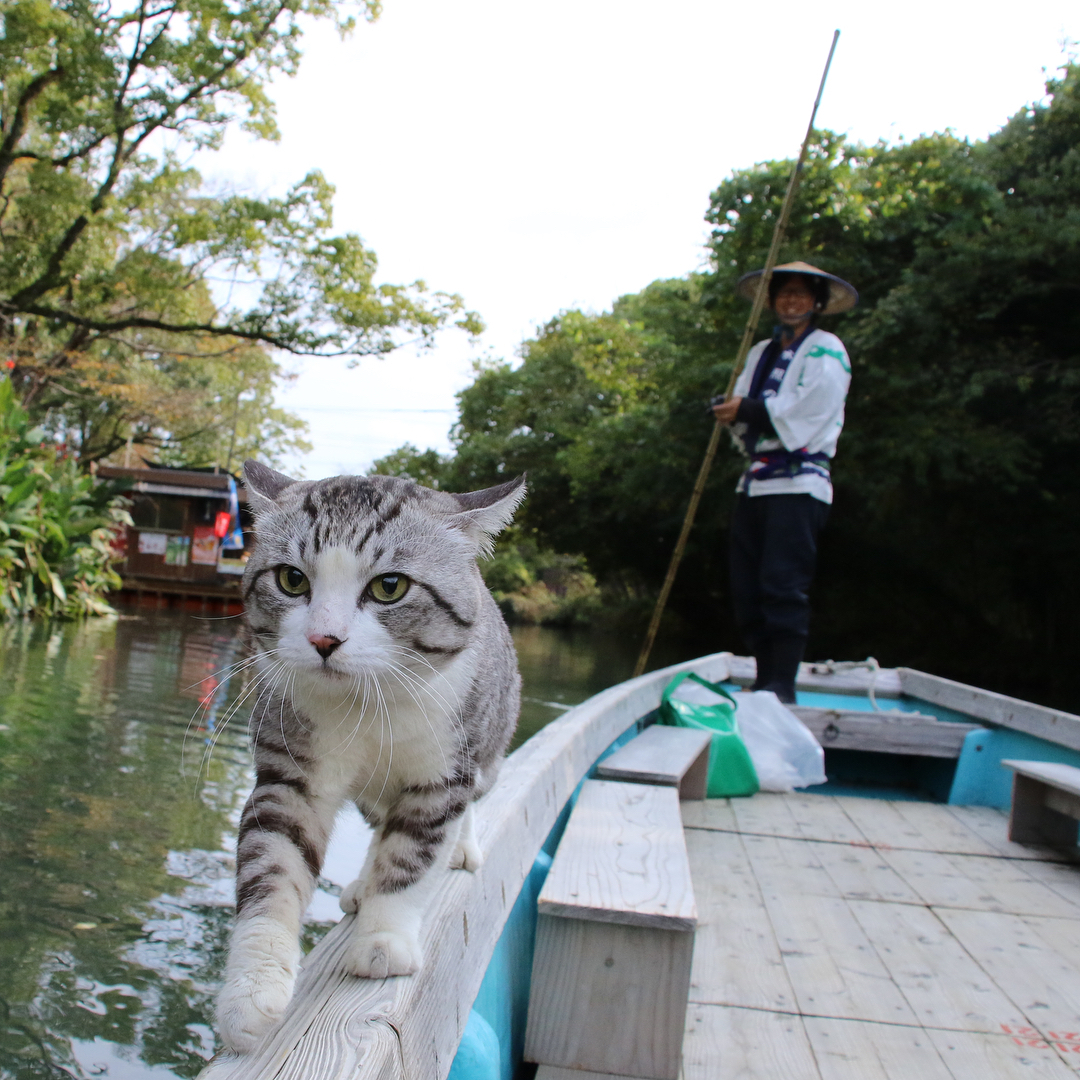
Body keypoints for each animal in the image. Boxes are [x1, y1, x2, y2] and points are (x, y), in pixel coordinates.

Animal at [214, 464, 522, 1054]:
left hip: (490, 738)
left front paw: (384, 941)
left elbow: (411, 859)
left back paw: (461, 849)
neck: (366, 706)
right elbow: (273, 866)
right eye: (291, 580)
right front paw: (251, 990)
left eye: (389, 586)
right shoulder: (290, 774)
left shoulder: (440, 777)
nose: (323, 638)